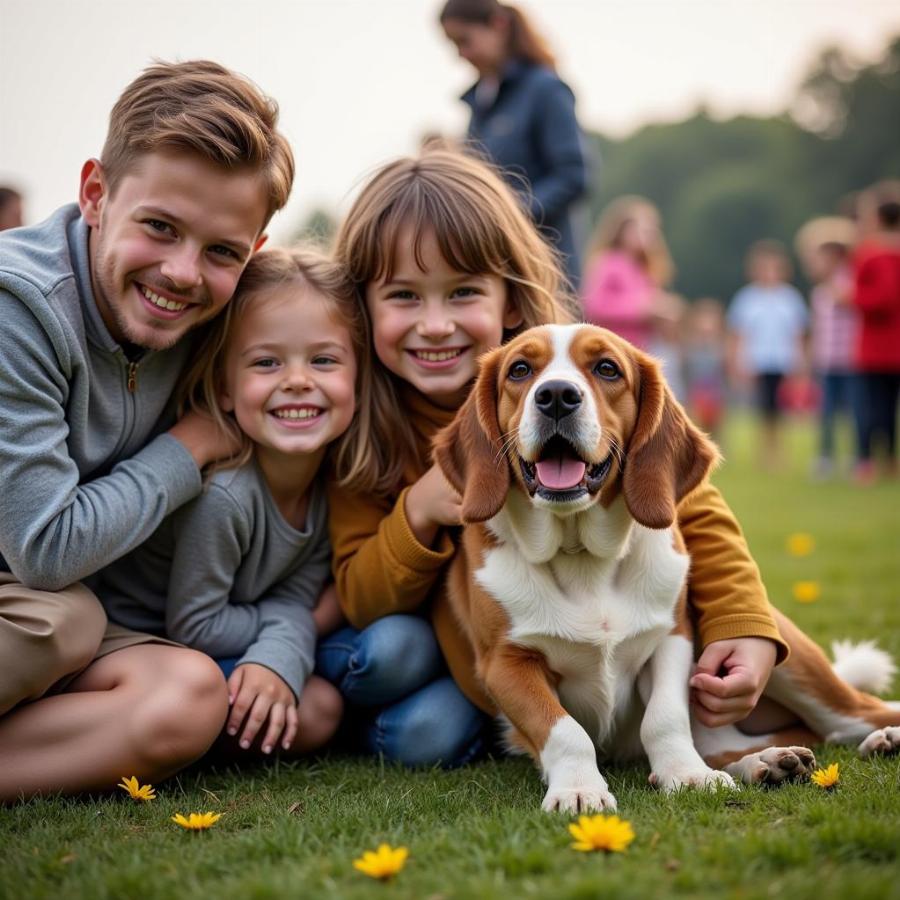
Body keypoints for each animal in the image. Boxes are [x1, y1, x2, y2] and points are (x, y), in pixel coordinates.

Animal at [434, 326, 900, 816]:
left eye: (607, 368)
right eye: (520, 370)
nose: (557, 396)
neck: (581, 555)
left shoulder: (672, 638)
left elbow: (666, 717)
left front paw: (687, 775)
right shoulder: (506, 663)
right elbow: (564, 730)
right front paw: (579, 788)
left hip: (789, 659)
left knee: (856, 713)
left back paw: (878, 736)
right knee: (734, 744)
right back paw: (769, 761)